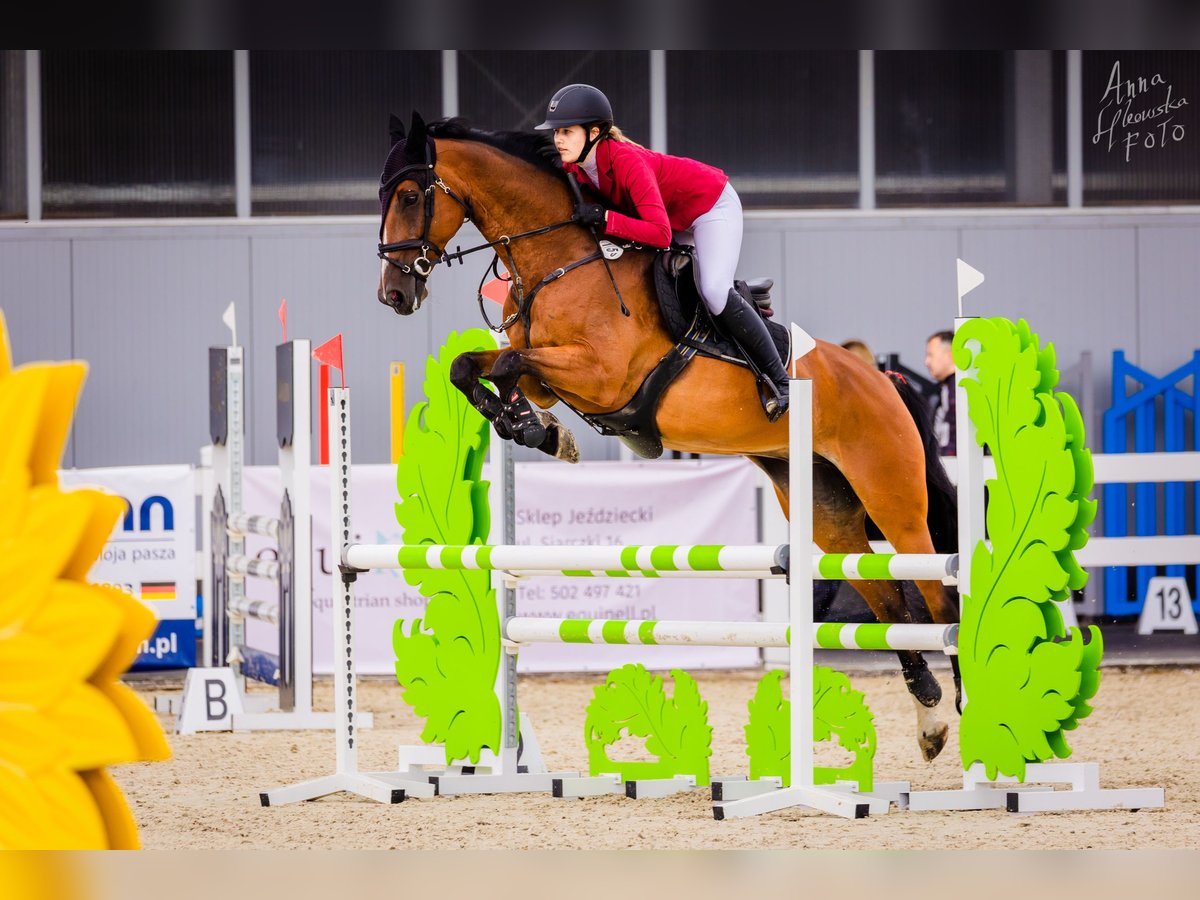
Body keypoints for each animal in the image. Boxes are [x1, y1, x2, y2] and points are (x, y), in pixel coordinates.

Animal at [376, 112, 961, 763]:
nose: (393, 294)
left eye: (409, 195)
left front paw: (536, 430)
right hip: (825, 506)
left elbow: (504, 364)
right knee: (888, 602)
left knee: (937, 598)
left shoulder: (600, 375)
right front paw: (539, 430)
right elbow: (474, 367)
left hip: (893, 498)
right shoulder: (553, 377)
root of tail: (881, 379)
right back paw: (930, 721)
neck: (560, 259)